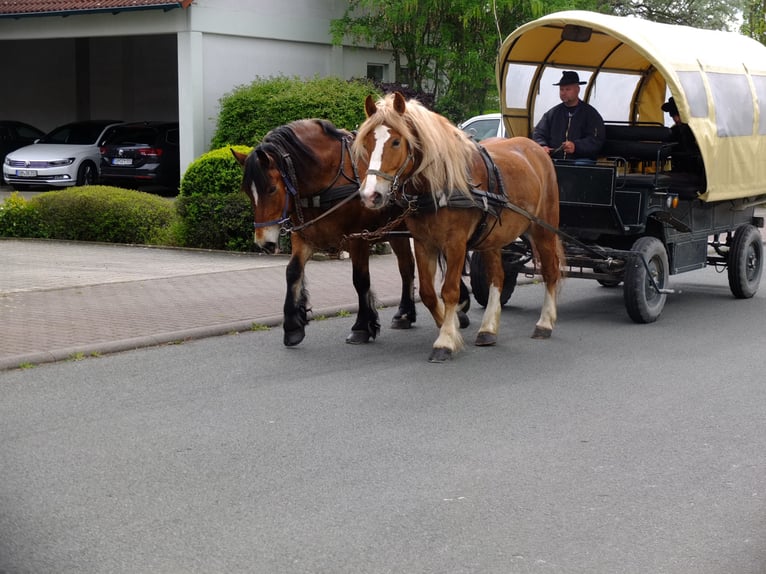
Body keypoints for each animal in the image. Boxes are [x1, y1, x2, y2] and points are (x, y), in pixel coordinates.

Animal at [234, 118, 426, 346]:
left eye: (271, 189)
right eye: (247, 192)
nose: (264, 243)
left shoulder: (358, 238)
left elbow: (360, 280)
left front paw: (362, 326)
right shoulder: (304, 236)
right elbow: (292, 272)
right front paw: (293, 325)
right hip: (396, 229)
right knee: (406, 266)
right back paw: (404, 314)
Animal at [354, 93, 564, 364]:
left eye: (396, 142)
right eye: (368, 142)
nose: (371, 195)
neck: (440, 185)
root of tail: (537, 149)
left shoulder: (455, 244)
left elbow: (450, 290)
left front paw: (445, 340)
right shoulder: (423, 243)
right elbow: (428, 293)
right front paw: (452, 326)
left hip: (543, 230)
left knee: (550, 272)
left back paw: (544, 323)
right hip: (492, 237)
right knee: (497, 277)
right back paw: (488, 329)